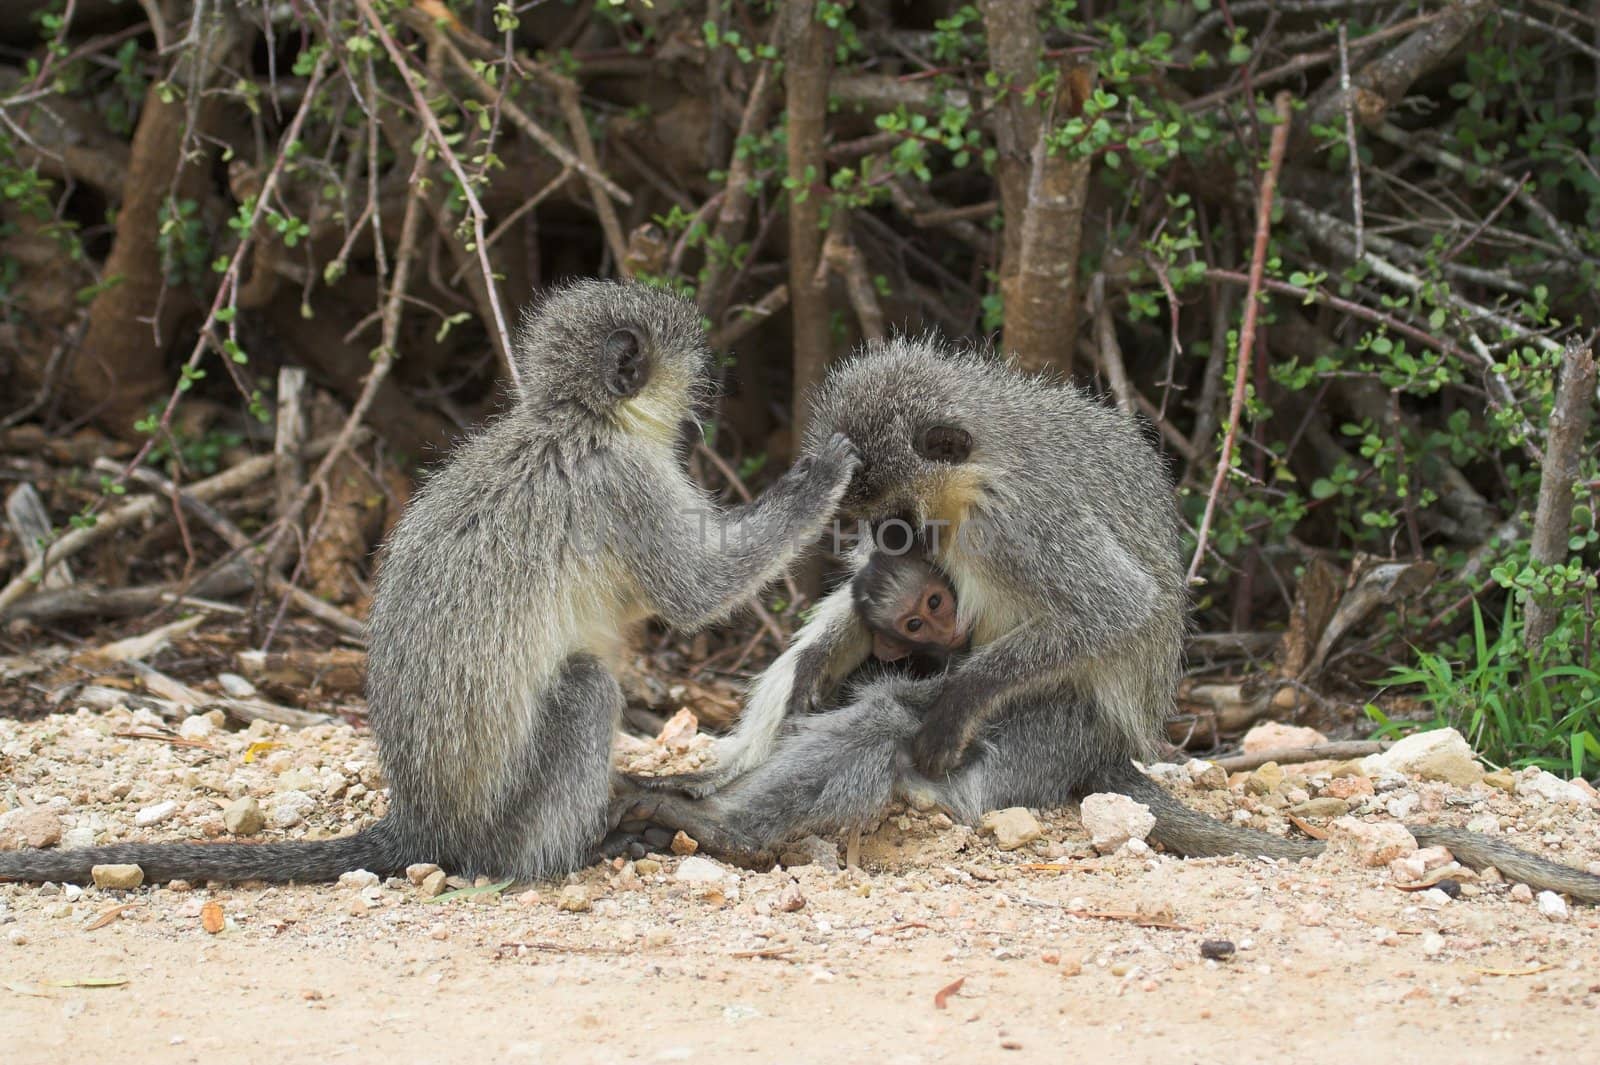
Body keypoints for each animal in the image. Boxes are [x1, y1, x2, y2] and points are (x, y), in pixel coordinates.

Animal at [0, 278, 864, 882]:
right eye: (695, 356)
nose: (719, 382)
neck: (576, 420)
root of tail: (422, 823)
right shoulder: (624, 483)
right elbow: (696, 591)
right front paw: (822, 475)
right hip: (505, 811)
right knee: (584, 689)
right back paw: (576, 850)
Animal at [624, 335, 1600, 901]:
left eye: (898, 516)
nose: (882, 539)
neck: (981, 468)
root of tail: (1116, 754)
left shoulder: (1021, 520)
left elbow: (1113, 608)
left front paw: (949, 702)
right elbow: (850, 616)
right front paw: (818, 667)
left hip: (1058, 734)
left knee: (901, 721)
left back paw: (730, 826)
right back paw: (712, 777)